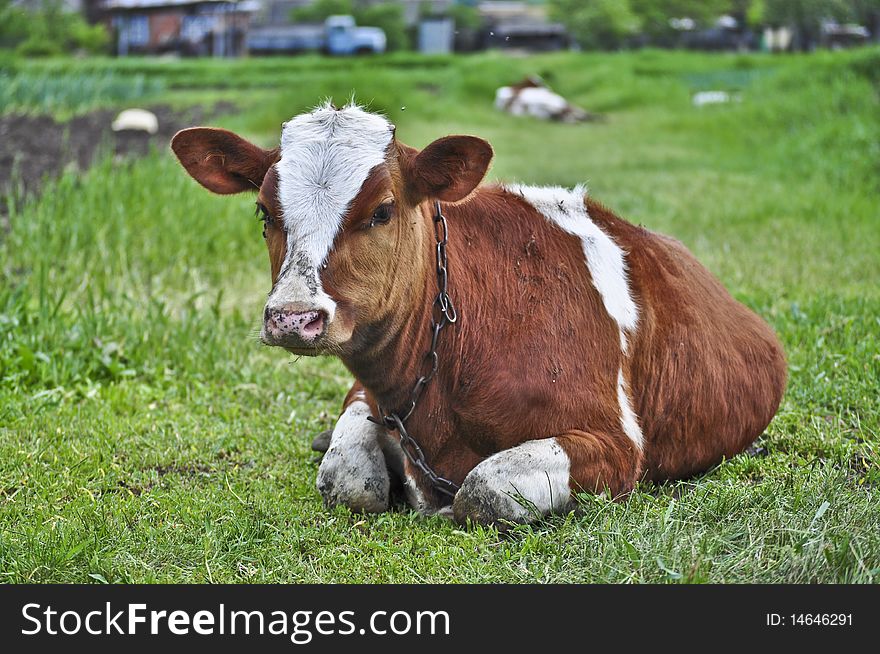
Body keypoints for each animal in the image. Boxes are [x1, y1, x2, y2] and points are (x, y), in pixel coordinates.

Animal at [170, 105, 784, 532]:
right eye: (264, 212)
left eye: (382, 211)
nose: (294, 318)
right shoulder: (369, 395)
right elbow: (347, 479)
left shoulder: (617, 444)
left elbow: (482, 490)